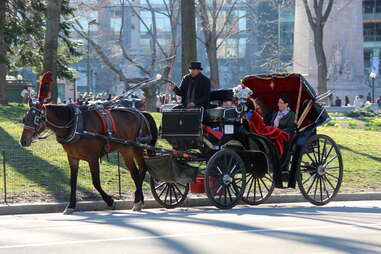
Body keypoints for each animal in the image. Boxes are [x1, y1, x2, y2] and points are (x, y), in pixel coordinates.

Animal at [20, 99, 157, 214]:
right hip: (126, 150)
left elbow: (96, 182)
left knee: (140, 171)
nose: (23, 141)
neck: (75, 125)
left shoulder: (93, 158)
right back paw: (139, 199)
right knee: (136, 173)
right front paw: (71, 205)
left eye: (36, 119)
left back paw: (138, 201)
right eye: (24, 118)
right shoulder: (73, 158)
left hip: (135, 148)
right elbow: (73, 182)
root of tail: (141, 113)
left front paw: (110, 201)